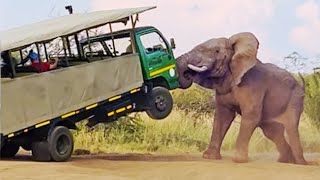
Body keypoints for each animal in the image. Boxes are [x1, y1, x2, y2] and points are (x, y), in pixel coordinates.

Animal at [178, 32, 308, 165]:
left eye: (216, 51)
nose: (187, 74)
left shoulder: (253, 86)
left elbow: (251, 115)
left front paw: (238, 159)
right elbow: (223, 116)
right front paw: (209, 157)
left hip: (295, 99)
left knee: (291, 128)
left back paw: (300, 163)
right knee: (272, 131)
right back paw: (285, 161)